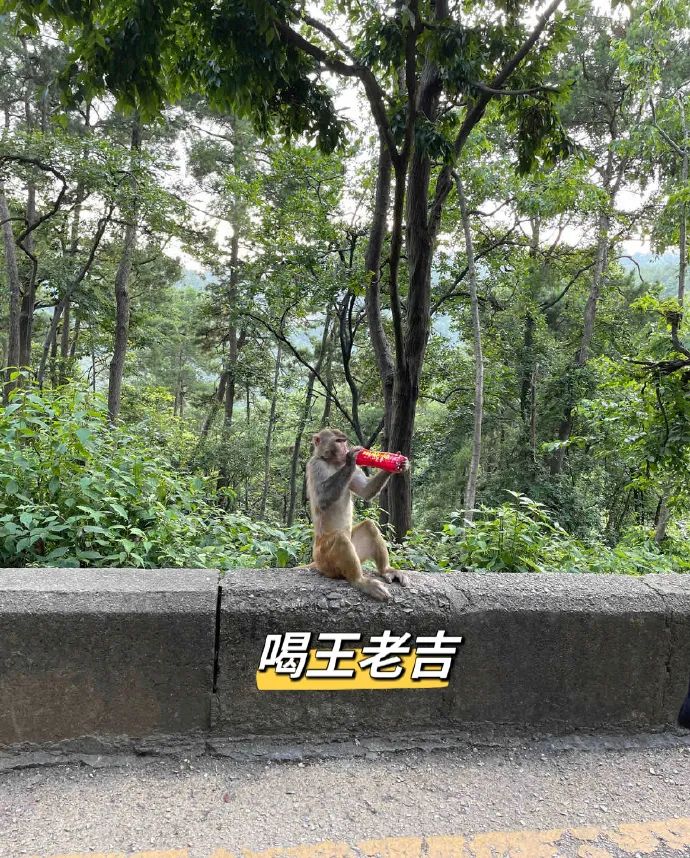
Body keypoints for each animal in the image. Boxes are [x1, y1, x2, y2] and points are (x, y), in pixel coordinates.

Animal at [306, 427, 410, 601]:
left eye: (343, 441)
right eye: (338, 441)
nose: (345, 449)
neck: (333, 463)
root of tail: (317, 561)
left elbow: (365, 490)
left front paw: (397, 462)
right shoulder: (315, 466)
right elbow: (322, 499)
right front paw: (351, 459)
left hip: (356, 551)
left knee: (369, 526)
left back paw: (386, 570)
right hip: (326, 560)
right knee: (340, 538)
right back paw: (360, 581)